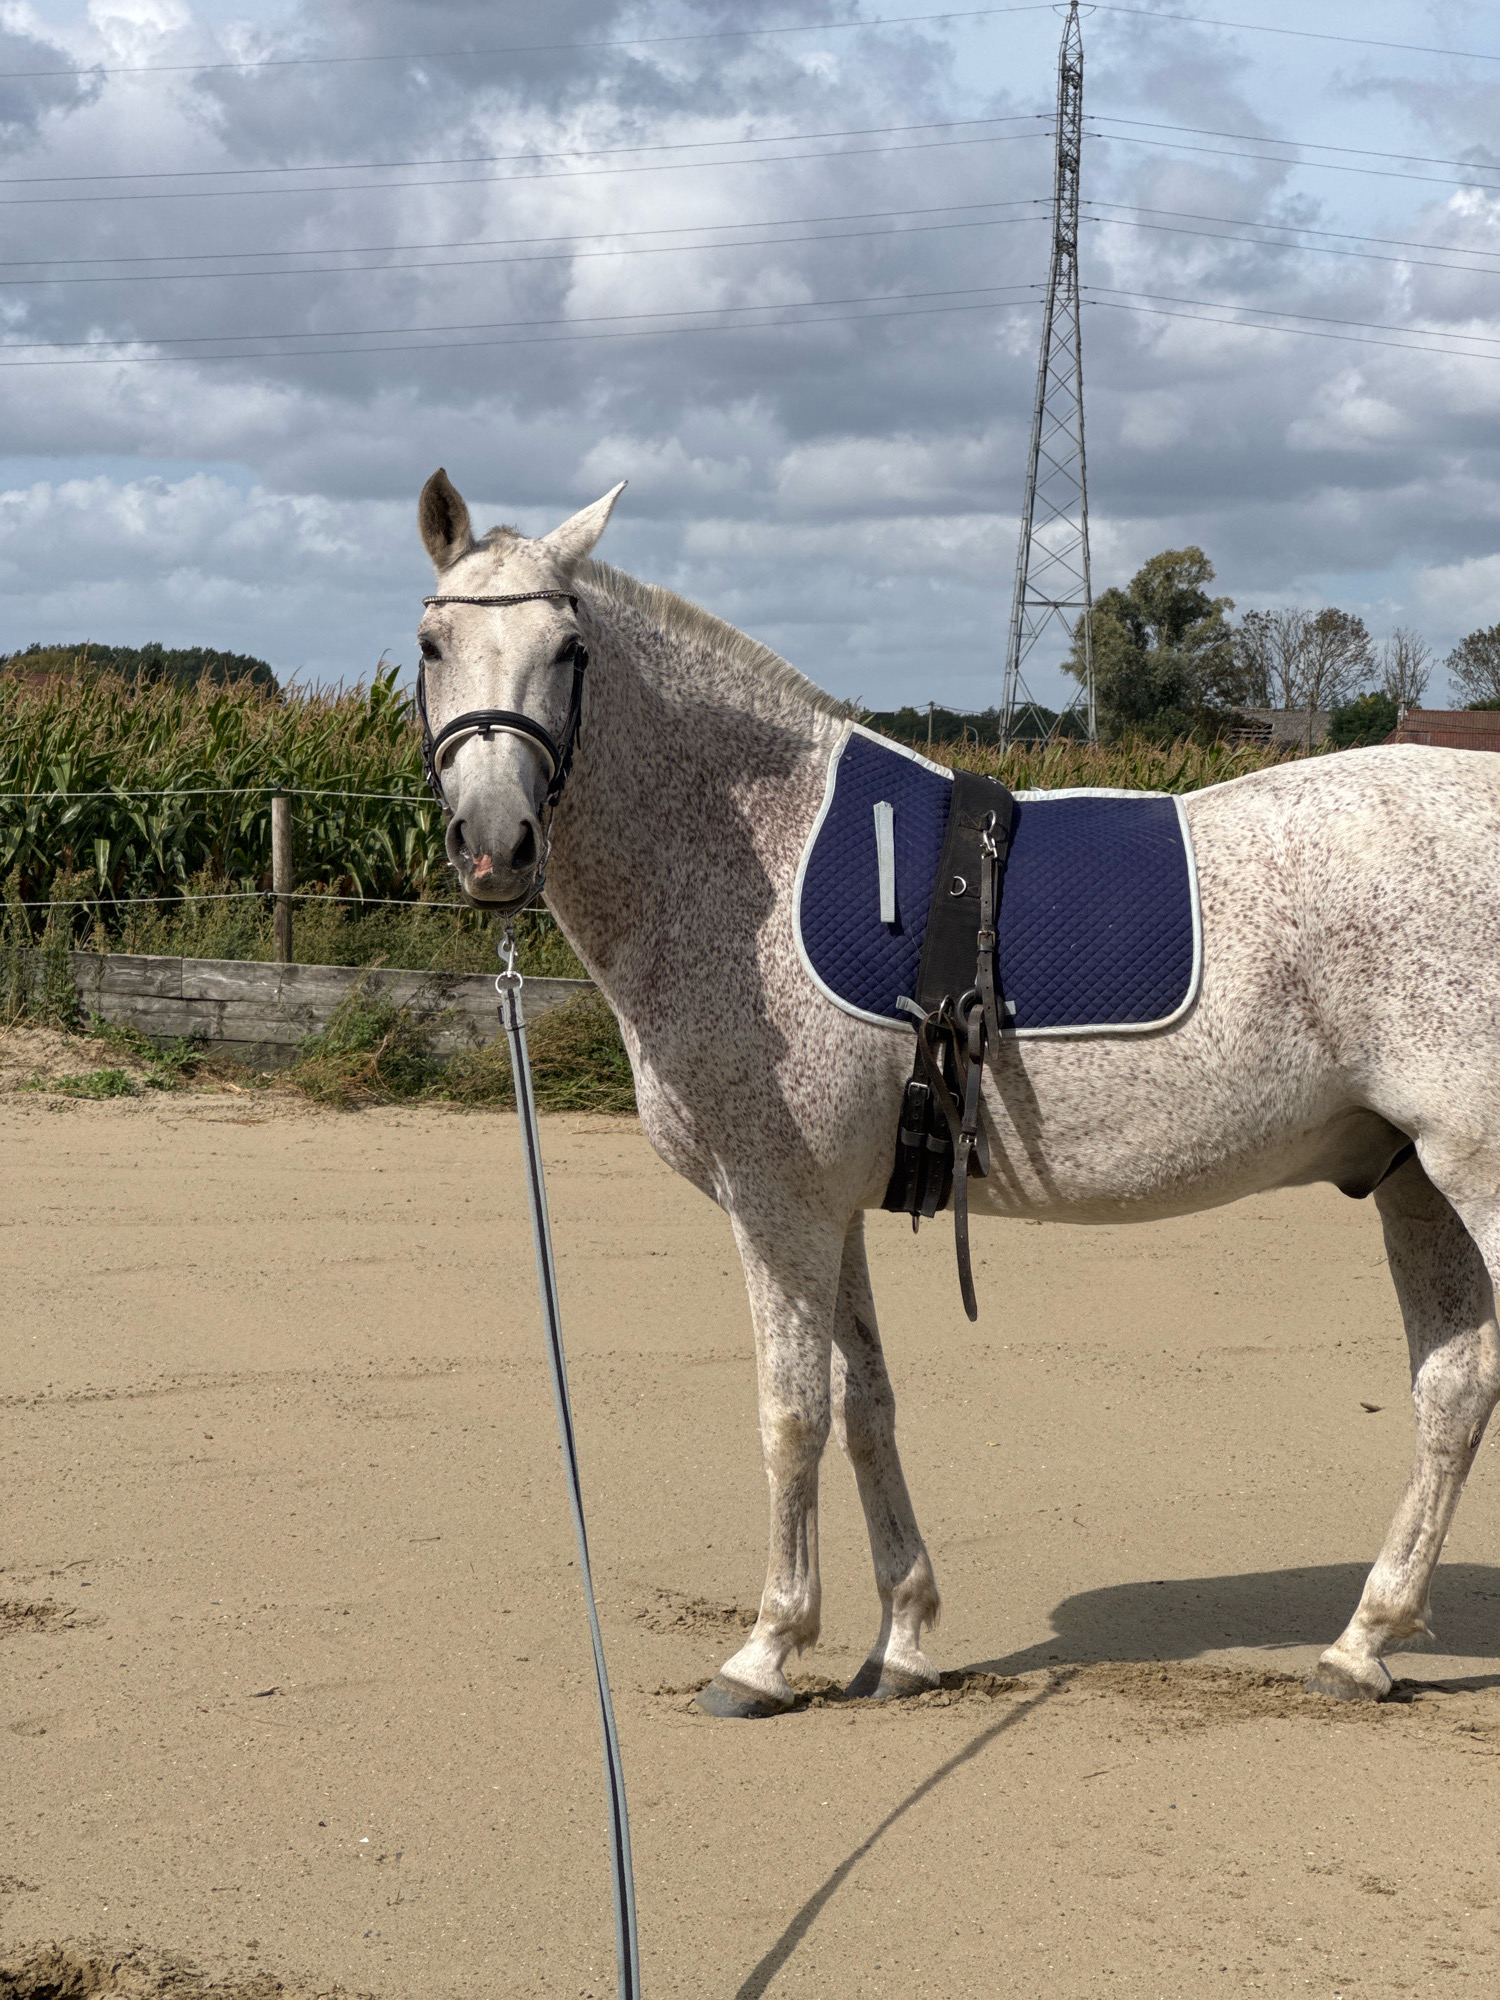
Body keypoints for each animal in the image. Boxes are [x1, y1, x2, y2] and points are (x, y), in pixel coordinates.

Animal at [414, 467, 1500, 1717]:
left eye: (570, 647)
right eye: (433, 643)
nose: (496, 844)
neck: (754, 852)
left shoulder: (776, 1200)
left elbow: (792, 1412)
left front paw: (766, 1649)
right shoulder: (831, 1205)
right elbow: (865, 1403)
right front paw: (901, 1636)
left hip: (1474, 1172)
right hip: (1415, 1182)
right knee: (1454, 1386)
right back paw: (1362, 1641)